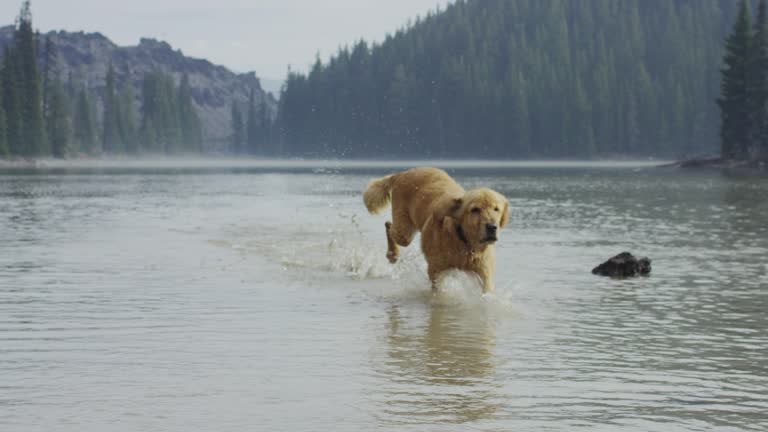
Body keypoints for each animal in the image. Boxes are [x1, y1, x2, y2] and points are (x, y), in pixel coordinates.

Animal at [364, 167, 508, 292]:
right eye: (475, 209)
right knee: (389, 225)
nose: (492, 227)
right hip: (404, 232)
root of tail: (402, 173)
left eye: (496, 209)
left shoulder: (485, 273)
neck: (464, 242)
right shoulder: (436, 269)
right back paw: (392, 253)